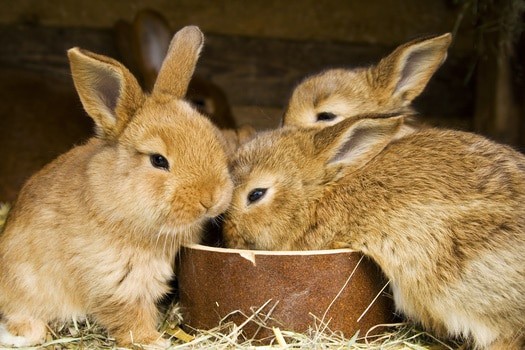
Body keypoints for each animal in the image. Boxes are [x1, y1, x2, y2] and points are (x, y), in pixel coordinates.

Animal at [0, 25, 231, 348]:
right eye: (158, 160)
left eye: (212, 137)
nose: (211, 198)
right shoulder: (116, 281)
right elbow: (131, 317)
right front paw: (153, 341)